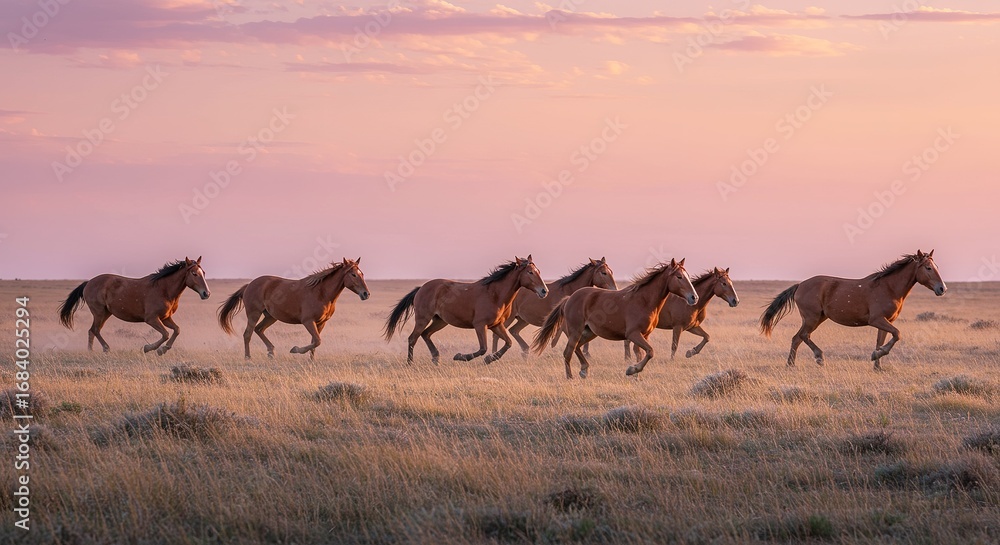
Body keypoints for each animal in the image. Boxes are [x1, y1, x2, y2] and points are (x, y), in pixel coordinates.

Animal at [57, 257, 211, 355]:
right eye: (194, 273)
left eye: (203, 273)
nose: (206, 293)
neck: (163, 289)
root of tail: (88, 283)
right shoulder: (152, 319)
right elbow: (166, 334)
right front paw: (149, 348)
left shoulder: (165, 318)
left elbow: (176, 330)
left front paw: (163, 349)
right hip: (99, 312)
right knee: (94, 330)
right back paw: (105, 349)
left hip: (106, 313)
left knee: (92, 330)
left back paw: (92, 350)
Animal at [218, 258, 370, 360]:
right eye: (353, 274)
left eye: (362, 274)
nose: (366, 294)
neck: (321, 293)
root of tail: (249, 285)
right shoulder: (308, 321)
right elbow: (317, 341)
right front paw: (295, 349)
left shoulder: (321, 323)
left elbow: (315, 341)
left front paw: (311, 360)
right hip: (254, 314)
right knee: (248, 334)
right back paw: (248, 358)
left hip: (270, 316)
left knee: (259, 329)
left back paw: (271, 352)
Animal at [384, 256, 548, 365]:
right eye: (530, 272)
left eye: (539, 270)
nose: (544, 291)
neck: (494, 294)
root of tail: (421, 288)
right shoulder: (480, 325)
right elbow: (483, 349)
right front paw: (460, 356)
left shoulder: (496, 325)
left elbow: (508, 343)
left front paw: (490, 359)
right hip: (423, 318)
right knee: (413, 338)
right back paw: (410, 363)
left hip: (440, 321)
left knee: (426, 334)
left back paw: (436, 359)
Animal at [532, 258, 698, 379]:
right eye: (679, 277)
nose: (694, 297)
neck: (644, 301)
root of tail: (569, 298)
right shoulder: (633, 334)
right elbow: (650, 352)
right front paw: (631, 370)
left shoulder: (645, 335)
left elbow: (642, 353)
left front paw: (636, 374)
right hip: (576, 331)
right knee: (568, 352)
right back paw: (570, 377)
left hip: (589, 332)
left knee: (577, 348)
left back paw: (584, 370)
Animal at [759, 250, 946, 369]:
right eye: (928, 268)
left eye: (937, 266)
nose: (942, 288)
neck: (889, 288)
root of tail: (800, 285)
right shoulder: (877, 320)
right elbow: (897, 334)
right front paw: (875, 356)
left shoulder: (885, 321)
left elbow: (881, 341)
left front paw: (877, 364)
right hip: (812, 318)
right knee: (803, 336)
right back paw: (819, 358)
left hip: (817, 318)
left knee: (796, 338)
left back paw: (790, 365)